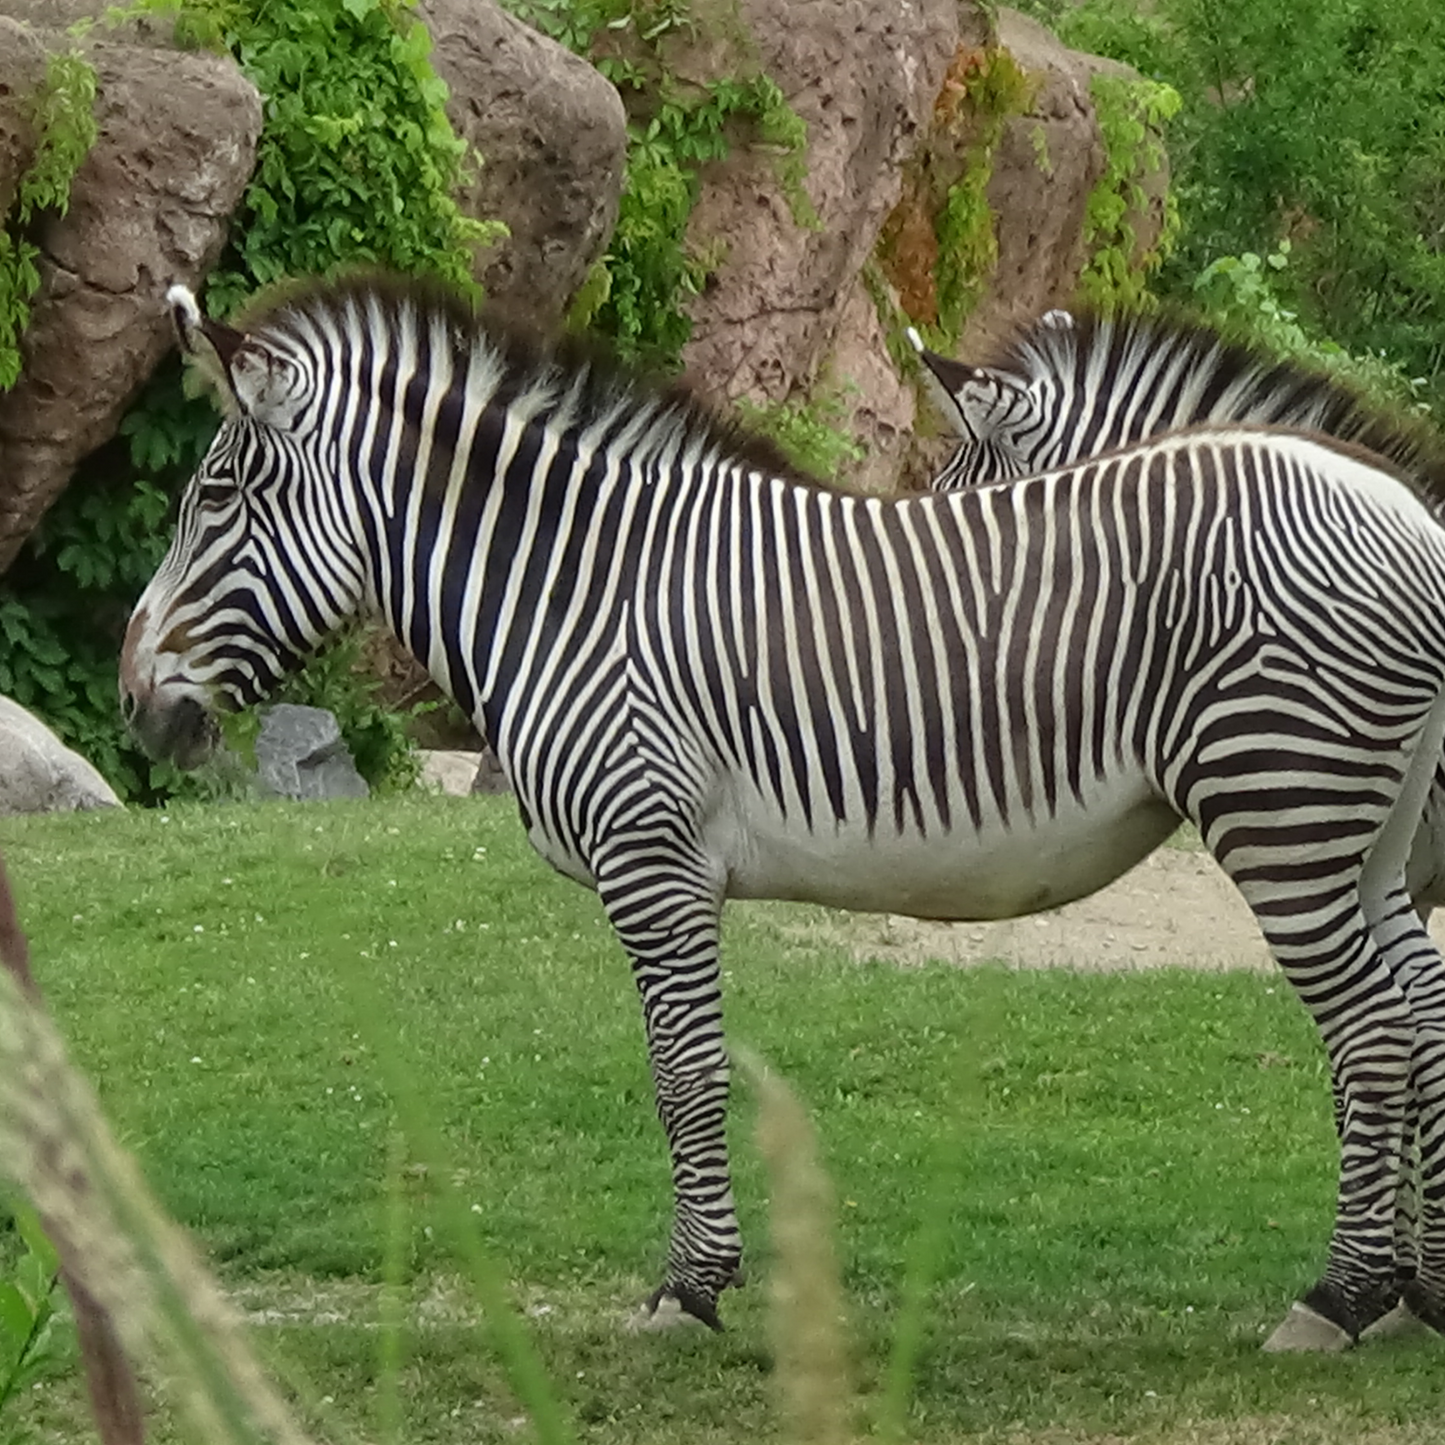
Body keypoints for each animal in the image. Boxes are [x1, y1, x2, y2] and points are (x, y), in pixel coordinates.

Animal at [118, 273, 1445, 1352]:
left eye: (218, 493)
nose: (134, 703)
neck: (573, 591)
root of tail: (1410, 517)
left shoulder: (648, 855)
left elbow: (682, 1071)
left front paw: (688, 1288)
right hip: (1365, 839)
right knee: (1410, 1015)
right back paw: (1399, 1294)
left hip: (1278, 803)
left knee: (1372, 1032)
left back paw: (1336, 1298)